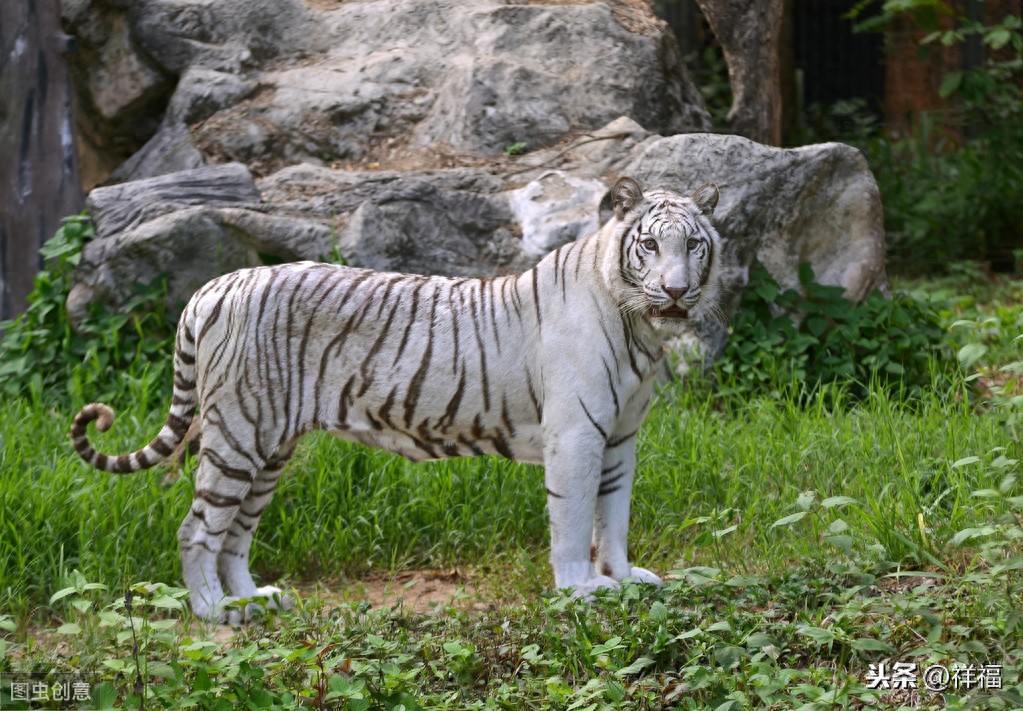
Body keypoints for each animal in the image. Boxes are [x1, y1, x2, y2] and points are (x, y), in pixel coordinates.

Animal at [70, 176, 723, 623]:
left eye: (693, 246)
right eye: (649, 246)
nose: (675, 291)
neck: (639, 327)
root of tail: (214, 286)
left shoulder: (620, 436)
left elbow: (613, 515)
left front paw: (624, 576)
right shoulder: (577, 434)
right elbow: (573, 517)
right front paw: (580, 590)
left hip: (270, 444)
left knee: (235, 531)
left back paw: (255, 599)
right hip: (238, 432)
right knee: (198, 528)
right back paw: (213, 611)